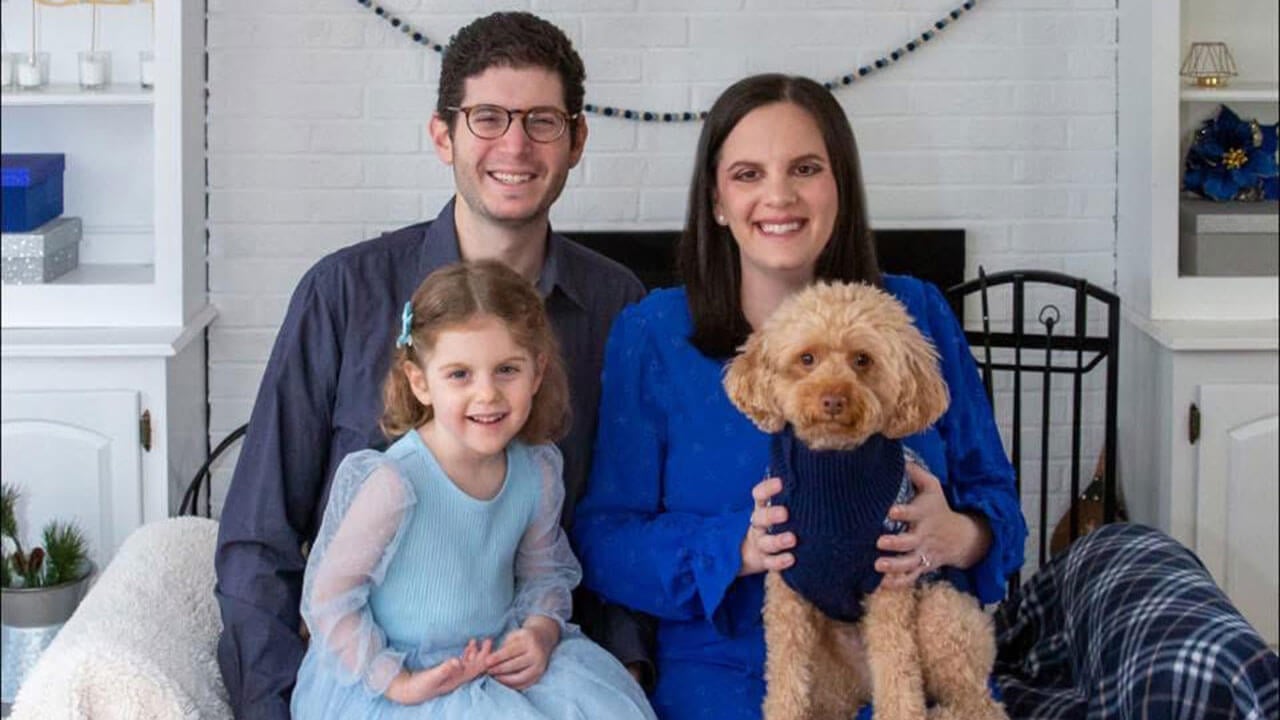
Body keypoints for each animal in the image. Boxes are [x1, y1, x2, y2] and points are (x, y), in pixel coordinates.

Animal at [727, 280, 1003, 717]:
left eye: (862, 360)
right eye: (807, 358)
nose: (833, 400)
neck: (834, 470)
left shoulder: (889, 586)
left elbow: (898, 678)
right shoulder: (787, 593)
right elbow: (785, 677)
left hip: (942, 613)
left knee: (977, 702)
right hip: (831, 672)